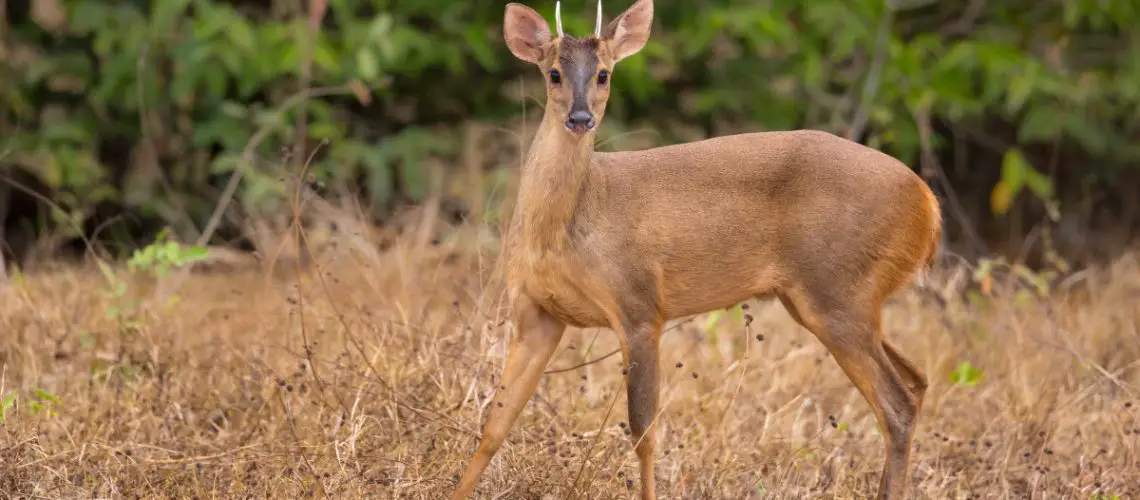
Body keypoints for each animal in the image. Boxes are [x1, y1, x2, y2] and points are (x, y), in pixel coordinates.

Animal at [451, 0, 943, 498]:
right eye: (553, 73)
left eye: (604, 74)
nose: (580, 118)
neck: (567, 228)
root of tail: (928, 202)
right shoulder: (537, 313)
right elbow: (495, 422)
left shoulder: (639, 304)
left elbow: (643, 431)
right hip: (830, 298)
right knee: (918, 381)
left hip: (838, 290)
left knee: (897, 404)